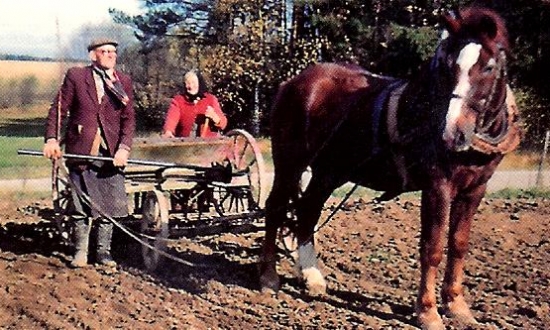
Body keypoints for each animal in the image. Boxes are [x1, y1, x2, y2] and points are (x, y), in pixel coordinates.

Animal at [262, 5, 520, 330]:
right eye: (447, 67)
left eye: (488, 67)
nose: (452, 134)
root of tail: (293, 83)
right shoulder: (437, 186)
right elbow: (433, 248)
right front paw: (427, 312)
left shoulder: (475, 188)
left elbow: (459, 245)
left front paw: (457, 306)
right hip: (290, 161)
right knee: (275, 208)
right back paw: (268, 277)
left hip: (329, 170)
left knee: (308, 210)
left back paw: (311, 275)